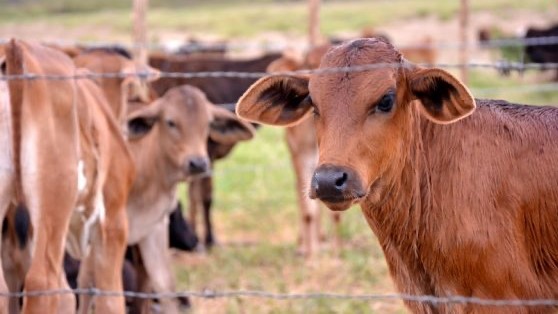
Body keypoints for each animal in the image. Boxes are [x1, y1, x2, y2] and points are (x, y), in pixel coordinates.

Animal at [0, 39, 135, 314]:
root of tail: (16, 46)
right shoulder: (114, 220)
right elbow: (110, 298)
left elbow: (68, 297)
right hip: (54, 199)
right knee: (42, 282)